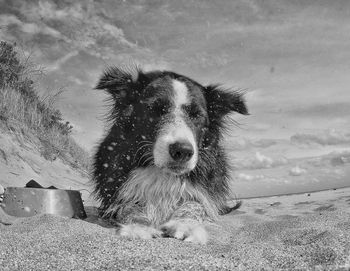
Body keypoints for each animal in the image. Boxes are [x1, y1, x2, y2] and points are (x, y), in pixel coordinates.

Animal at [91, 66, 247, 244]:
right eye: (154, 109)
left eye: (196, 115)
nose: (183, 151)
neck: (162, 173)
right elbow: (129, 205)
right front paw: (138, 225)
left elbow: (196, 204)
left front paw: (186, 224)